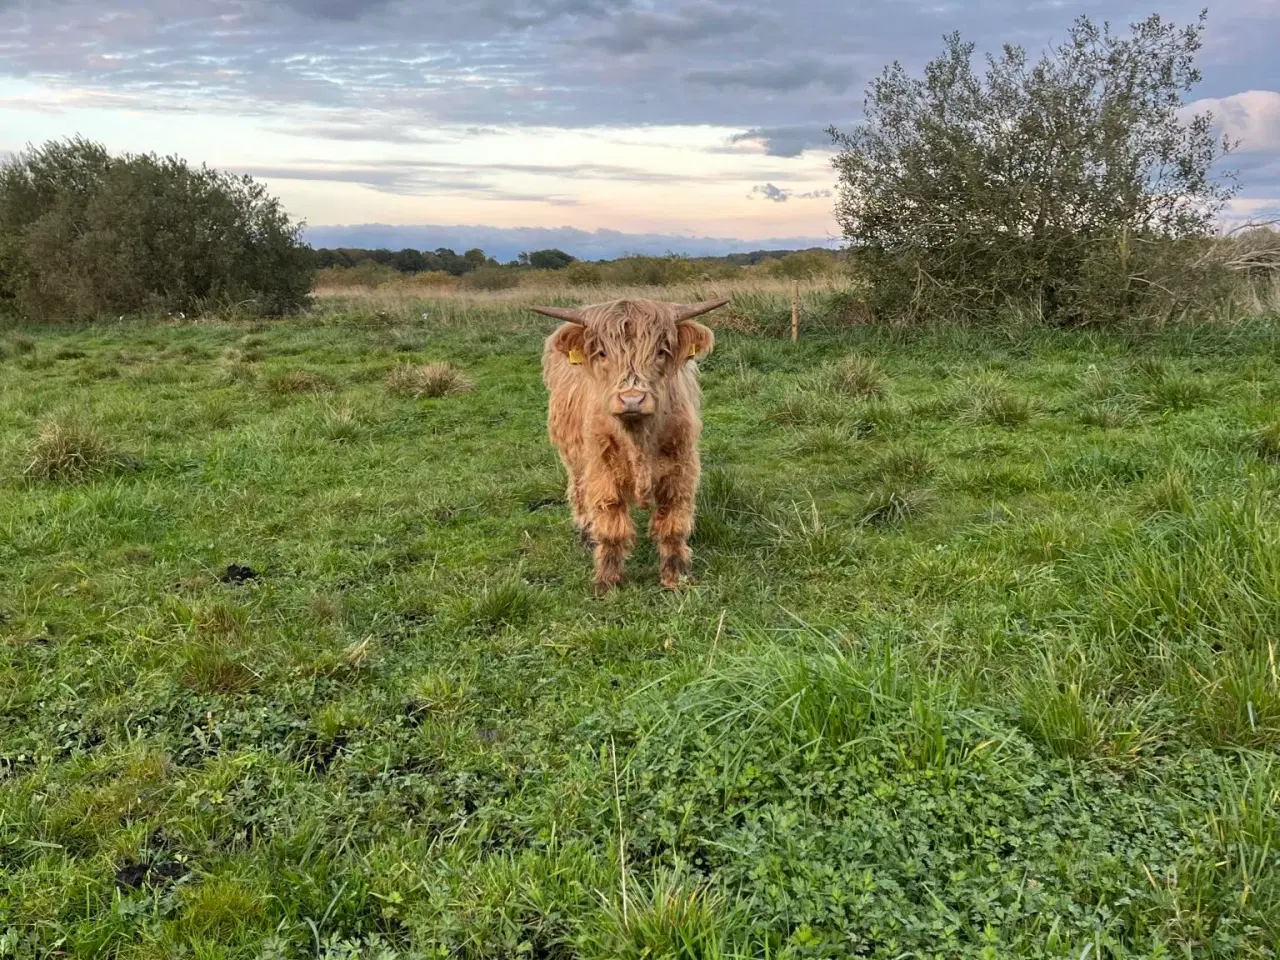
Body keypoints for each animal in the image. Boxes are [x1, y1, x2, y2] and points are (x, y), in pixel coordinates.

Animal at [532, 296, 732, 593]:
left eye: (660, 351)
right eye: (603, 353)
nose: (632, 399)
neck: (638, 439)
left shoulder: (681, 468)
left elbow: (673, 525)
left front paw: (676, 576)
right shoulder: (602, 469)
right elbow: (611, 525)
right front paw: (607, 580)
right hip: (573, 455)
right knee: (578, 488)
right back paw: (584, 531)